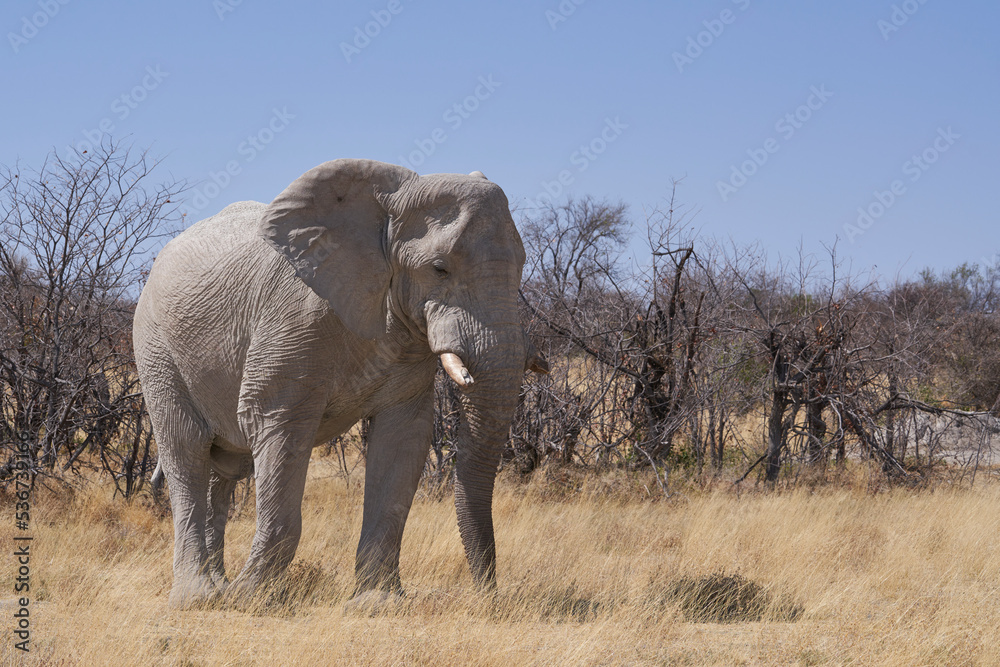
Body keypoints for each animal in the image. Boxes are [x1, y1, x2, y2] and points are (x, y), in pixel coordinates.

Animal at [133, 159, 548, 609]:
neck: (383, 208)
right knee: (186, 448)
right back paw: (198, 598)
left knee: (222, 470)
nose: (487, 594)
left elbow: (403, 438)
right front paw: (248, 600)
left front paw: (377, 604)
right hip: (155, 347)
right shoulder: (289, 321)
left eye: (522, 265)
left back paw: (217, 588)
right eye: (439, 268)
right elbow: (276, 425)